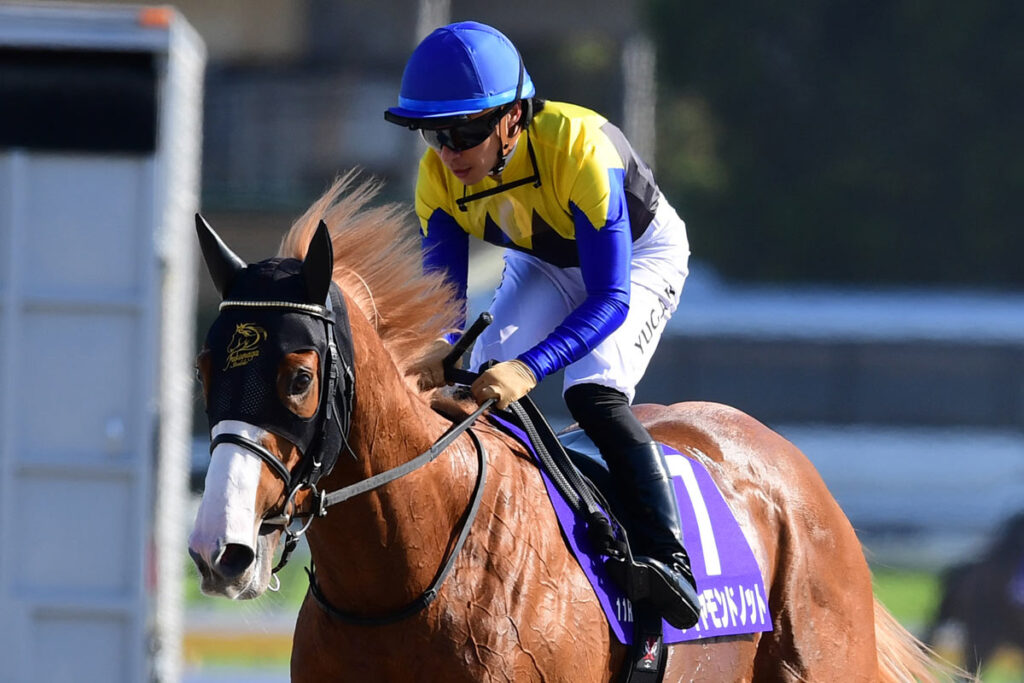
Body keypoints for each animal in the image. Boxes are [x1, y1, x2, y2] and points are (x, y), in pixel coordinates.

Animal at [188, 175, 959, 682]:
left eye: (298, 377)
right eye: (202, 368)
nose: (218, 551)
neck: (405, 579)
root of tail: (796, 471)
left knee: (599, 393)